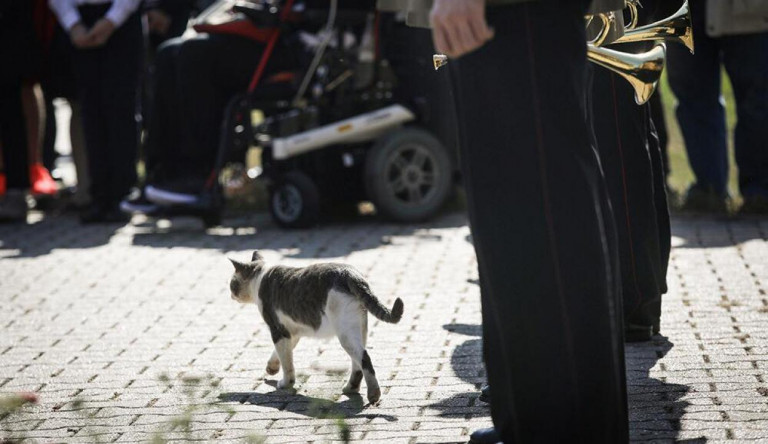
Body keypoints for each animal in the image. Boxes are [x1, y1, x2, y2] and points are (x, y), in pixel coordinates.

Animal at [228, 251, 404, 404]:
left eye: (231, 284)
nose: (230, 295)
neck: (261, 277)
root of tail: (351, 274)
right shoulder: (292, 332)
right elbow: (280, 354)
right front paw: (271, 367)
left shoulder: (278, 330)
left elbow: (287, 363)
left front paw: (285, 384)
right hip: (360, 329)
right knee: (357, 364)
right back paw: (351, 388)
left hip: (345, 332)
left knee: (364, 358)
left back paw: (373, 394)